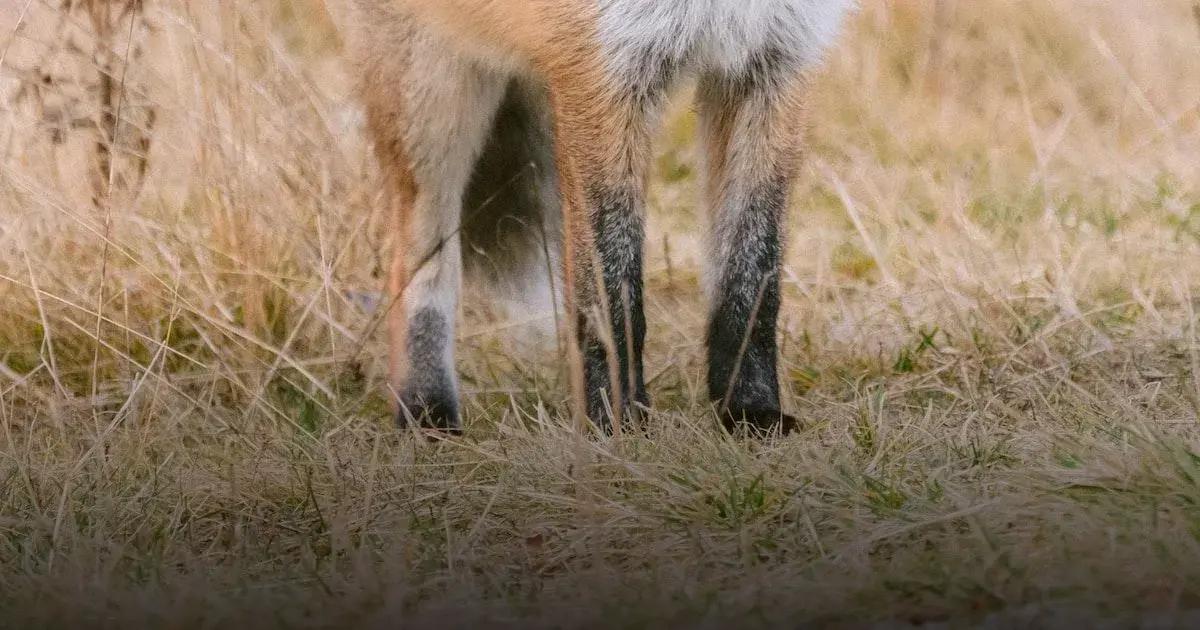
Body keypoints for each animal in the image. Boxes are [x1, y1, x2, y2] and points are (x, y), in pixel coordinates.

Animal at [348, 0, 854, 432]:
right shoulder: (602, 76)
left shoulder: (775, 64)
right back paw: (425, 413)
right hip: (430, 103)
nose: (752, 414)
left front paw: (750, 414)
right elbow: (612, 294)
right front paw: (615, 420)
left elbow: (751, 284)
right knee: (416, 263)